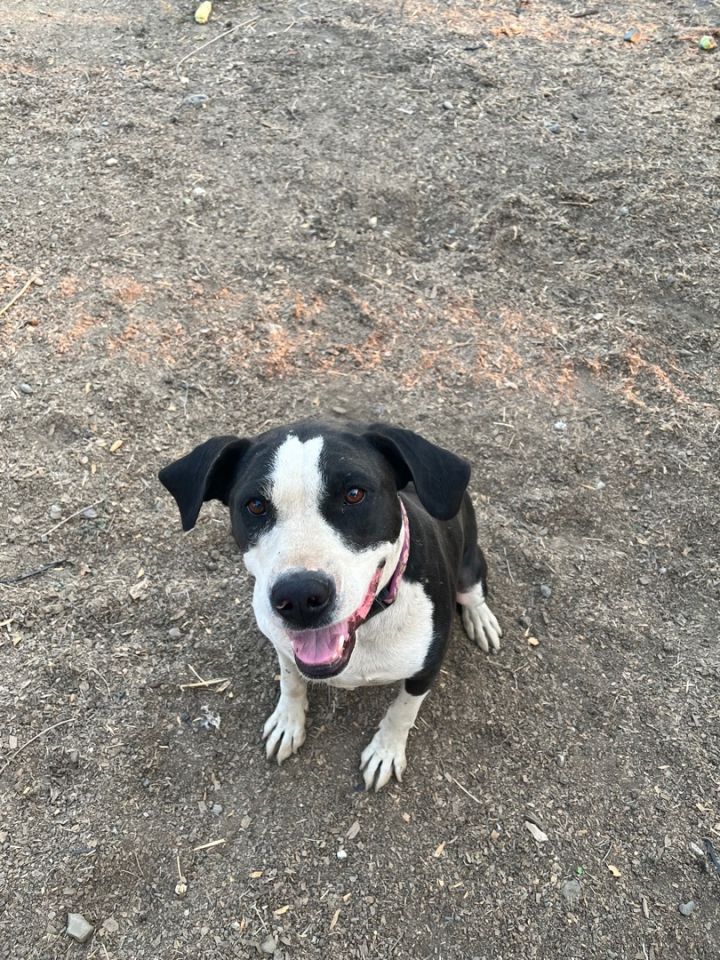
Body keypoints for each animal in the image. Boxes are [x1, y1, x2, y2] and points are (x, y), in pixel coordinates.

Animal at [160, 418, 504, 788]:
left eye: (354, 494)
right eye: (255, 505)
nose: (299, 596)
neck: (368, 627)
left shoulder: (426, 669)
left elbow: (402, 711)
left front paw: (386, 750)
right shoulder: (284, 648)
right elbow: (291, 680)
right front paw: (288, 721)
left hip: (469, 567)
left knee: (473, 591)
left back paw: (481, 620)